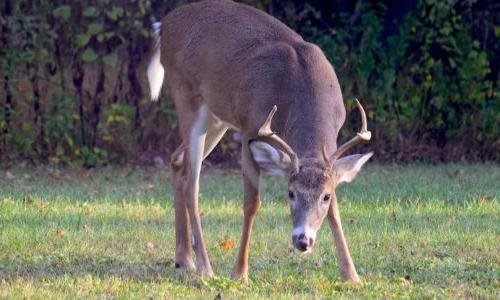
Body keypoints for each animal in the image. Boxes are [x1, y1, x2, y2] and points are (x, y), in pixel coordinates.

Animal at [146, 0, 374, 284]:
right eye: (290, 193)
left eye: (326, 195)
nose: (303, 241)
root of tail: (163, 26)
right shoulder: (249, 128)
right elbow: (251, 203)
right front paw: (239, 273)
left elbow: (335, 210)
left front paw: (351, 275)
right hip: (187, 95)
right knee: (192, 183)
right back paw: (205, 267)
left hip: (217, 117)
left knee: (177, 161)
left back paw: (184, 260)